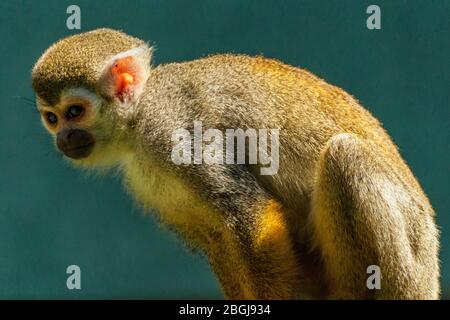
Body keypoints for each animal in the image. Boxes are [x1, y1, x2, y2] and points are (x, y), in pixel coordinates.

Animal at [31, 28, 440, 298]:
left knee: (345, 155)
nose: (63, 139)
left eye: (74, 112)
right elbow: (216, 233)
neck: (140, 120)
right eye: (51, 118)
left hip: (409, 264)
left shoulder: (178, 133)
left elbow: (248, 212)